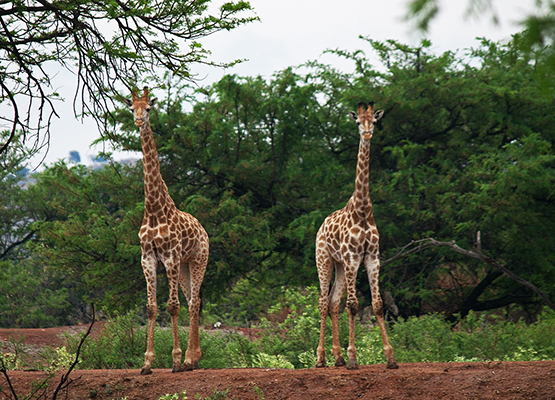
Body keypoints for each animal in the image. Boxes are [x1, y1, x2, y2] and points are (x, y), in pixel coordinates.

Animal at [125, 87, 210, 376]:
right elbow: (151, 308)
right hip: (183, 267)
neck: (153, 209)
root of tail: (204, 231)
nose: (139, 121)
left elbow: (172, 307)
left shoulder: (170, 256)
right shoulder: (147, 257)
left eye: (149, 108)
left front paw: (174, 360)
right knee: (194, 300)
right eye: (132, 108)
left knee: (193, 302)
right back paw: (194, 359)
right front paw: (146, 363)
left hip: (197, 260)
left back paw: (189, 360)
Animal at [314, 102, 398, 368]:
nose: (368, 134)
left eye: (375, 121)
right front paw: (353, 357)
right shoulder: (352, 257)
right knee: (323, 302)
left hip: (340, 266)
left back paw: (337, 357)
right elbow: (353, 305)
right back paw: (321, 358)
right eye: (358, 122)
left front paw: (390, 357)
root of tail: (320, 227)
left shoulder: (372, 257)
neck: (363, 210)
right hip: (325, 260)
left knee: (333, 303)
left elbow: (378, 305)